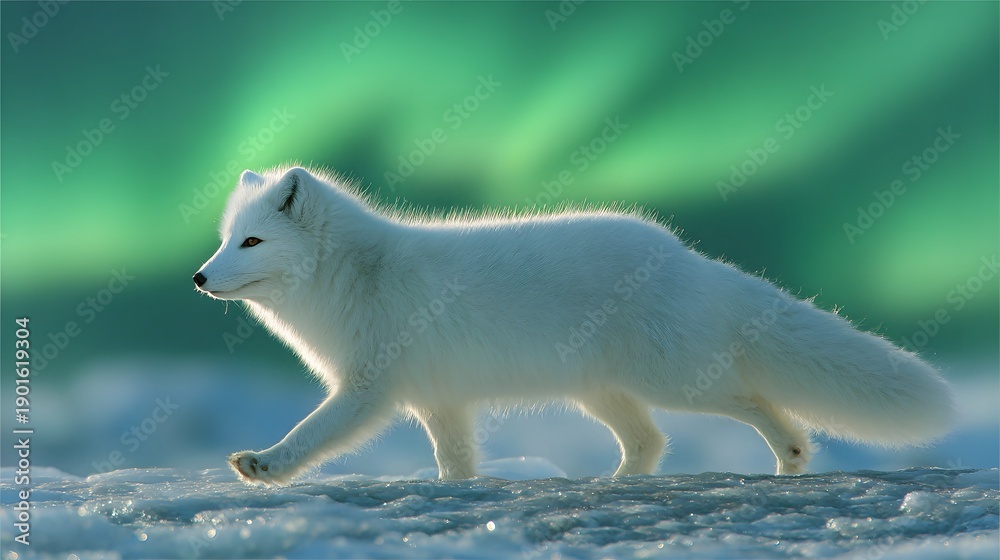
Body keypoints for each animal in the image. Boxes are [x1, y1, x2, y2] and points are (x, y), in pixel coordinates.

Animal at [193, 165, 954, 485]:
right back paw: (612, 486)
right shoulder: (440, 402)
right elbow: (455, 465)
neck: (357, 275)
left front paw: (264, 467)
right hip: (601, 392)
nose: (199, 278)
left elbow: (310, 434)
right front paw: (457, 495)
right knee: (651, 442)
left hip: (676, 381)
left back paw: (790, 460)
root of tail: (686, 257)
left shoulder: (367, 390)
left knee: (761, 406)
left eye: (252, 243)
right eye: (227, 240)